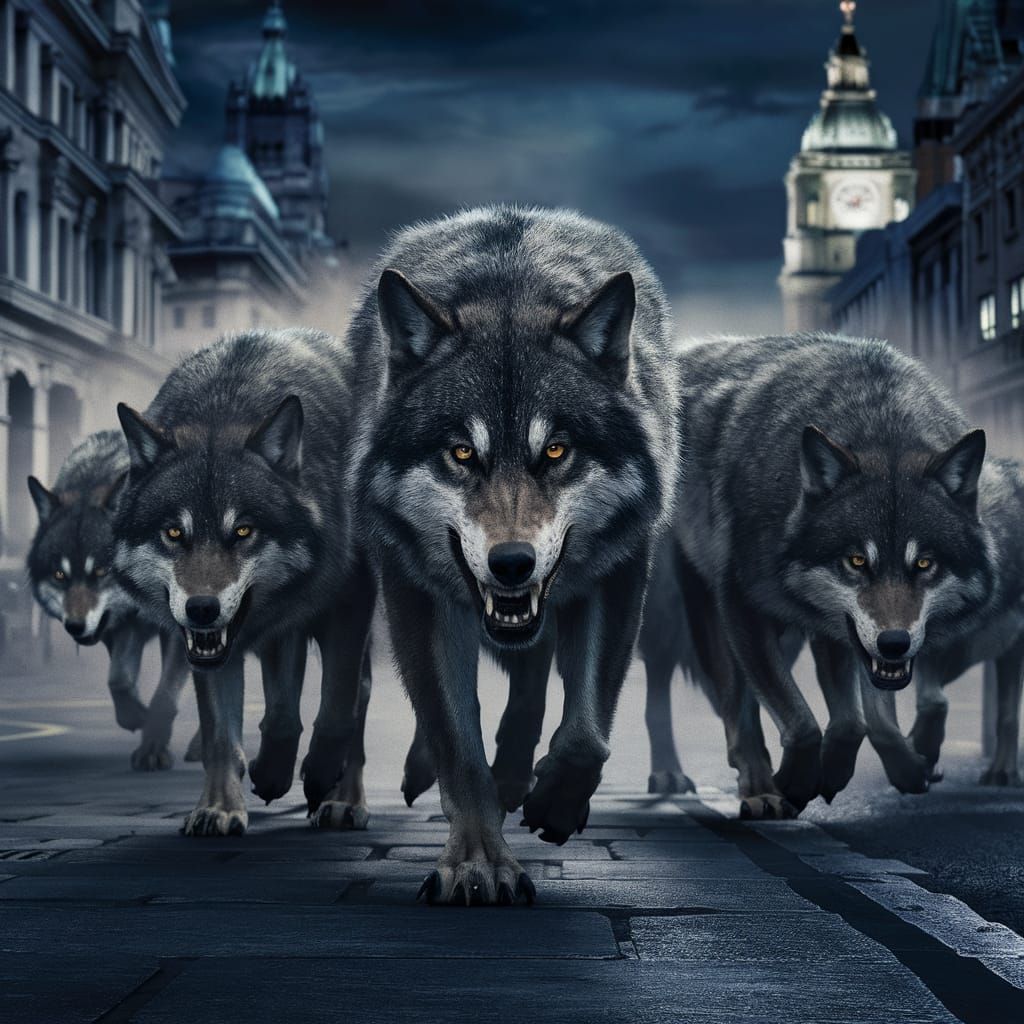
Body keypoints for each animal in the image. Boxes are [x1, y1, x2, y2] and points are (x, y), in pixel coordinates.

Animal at [26, 431, 194, 770]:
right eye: (60, 575)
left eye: (101, 571)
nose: (75, 626)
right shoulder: (117, 626)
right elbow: (119, 680)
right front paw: (137, 717)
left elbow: (165, 695)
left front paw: (152, 748)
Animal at [113, 329, 375, 836]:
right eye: (173, 533)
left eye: (243, 531)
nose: (202, 608)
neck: (227, 404)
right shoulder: (213, 649)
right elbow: (223, 734)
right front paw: (219, 807)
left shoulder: (349, 607)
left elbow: (337, 712)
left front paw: (316, 777)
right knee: (282, 713)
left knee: (357, 705)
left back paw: (341, 801)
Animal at [350, 205, 679, 905]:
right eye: (461, 452)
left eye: (555, 450)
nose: (511, 563)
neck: (512, 288)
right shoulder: (414, 590)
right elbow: (455, 740)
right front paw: (478, 864)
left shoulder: (620, 570)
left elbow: (588, 729)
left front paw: (555, 800)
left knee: (532, 679)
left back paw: (516, 774)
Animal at [667, 333, 995, 816]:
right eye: (857, 561)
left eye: (924, 564)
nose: (894, 643)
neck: (879, 422)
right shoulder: (743, 606)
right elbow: (802, 721)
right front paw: (796, 781)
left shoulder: (843, 634)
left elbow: (865, 719)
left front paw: (898, 767)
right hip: (713, 613)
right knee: (736, 705)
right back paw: (761, 789)